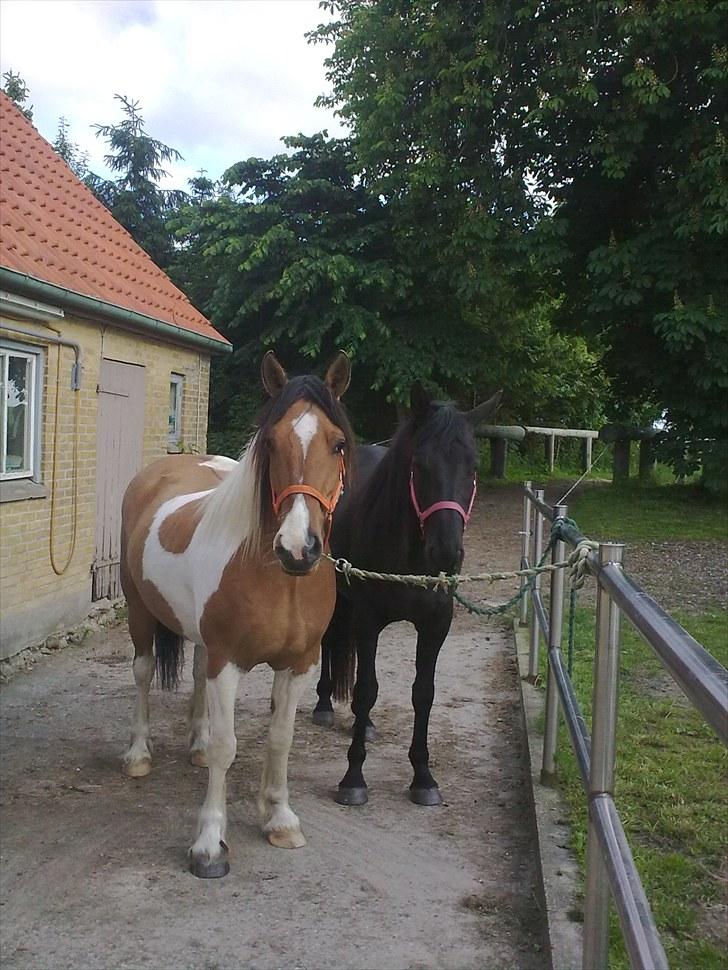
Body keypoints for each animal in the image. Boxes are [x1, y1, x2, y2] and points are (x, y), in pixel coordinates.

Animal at [119, 350, 352, 876]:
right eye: (271, 441)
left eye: (339, 444)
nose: (297, 548)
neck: (281, 580)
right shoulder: (229, 663)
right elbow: (230, 747)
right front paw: (208, 843)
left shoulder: (299, 664)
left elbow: (280, 737)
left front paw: (280, 818)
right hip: (139, 612)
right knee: (143, 672)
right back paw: (138, 754)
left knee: (196, 674)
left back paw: (197, 748)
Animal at [312, 382, 500, 804]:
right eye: (420, 465)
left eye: (473, 468)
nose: (446, 551)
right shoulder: (368, 621)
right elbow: (366, 689)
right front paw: (353, 778)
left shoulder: (435, 625)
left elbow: (423, 693)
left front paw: (423, 776)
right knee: (330, 643)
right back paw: (323, 703)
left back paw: (362, 725)